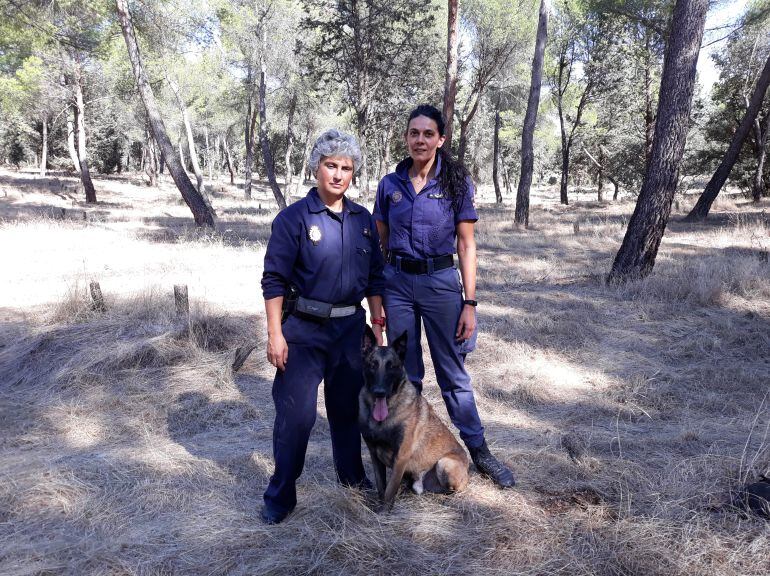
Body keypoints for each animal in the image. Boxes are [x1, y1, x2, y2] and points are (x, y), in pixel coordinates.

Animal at [358, 326, 468, 510]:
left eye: (392, 367)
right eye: (372, 365)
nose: (379, 392)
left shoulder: (400, 457)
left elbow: (389, 491)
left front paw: (384, 513)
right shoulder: (374, 454)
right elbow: (381, 487)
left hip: (444, 464)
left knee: (455, 489)